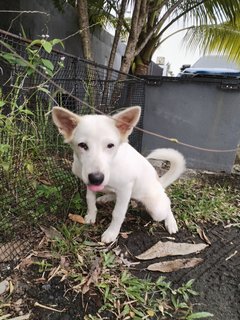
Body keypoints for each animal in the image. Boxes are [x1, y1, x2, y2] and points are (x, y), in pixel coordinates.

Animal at [51, 105, 185, 242]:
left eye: (110, 145)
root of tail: (159, 183)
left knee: (167, 205)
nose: (96, 178)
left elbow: (118, 213)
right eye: (82, 145)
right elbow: (90, 199)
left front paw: (111, 233)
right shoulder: (90, 183)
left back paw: (171, 223)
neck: (111, 167)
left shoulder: (125, 189)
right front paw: (91, 215)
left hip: (157, 209)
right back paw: (105, 198)